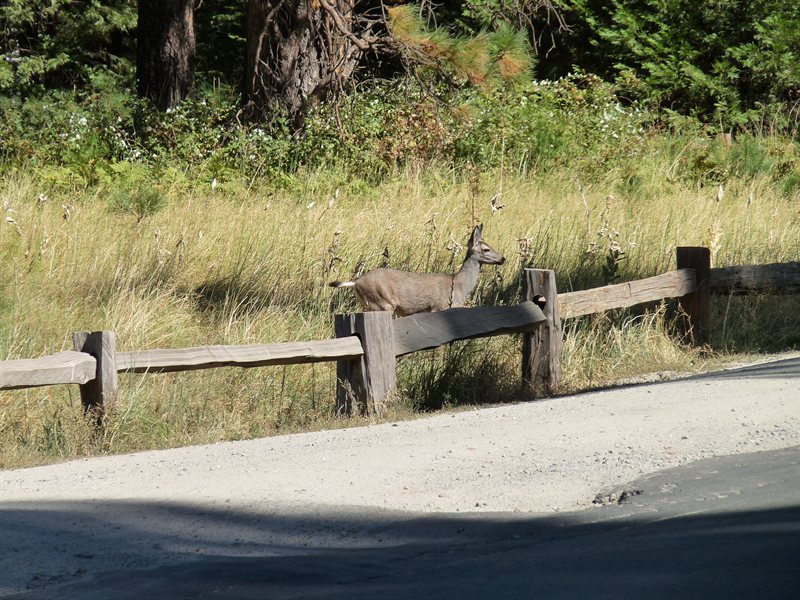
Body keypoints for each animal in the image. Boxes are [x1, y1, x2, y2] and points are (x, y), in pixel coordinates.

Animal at [329, 224, 506, 317]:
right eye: (486, 249)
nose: (503, 258)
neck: (459, 285)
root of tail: (356, 282)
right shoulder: (438, 307)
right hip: (382, 303)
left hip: (369, 305)